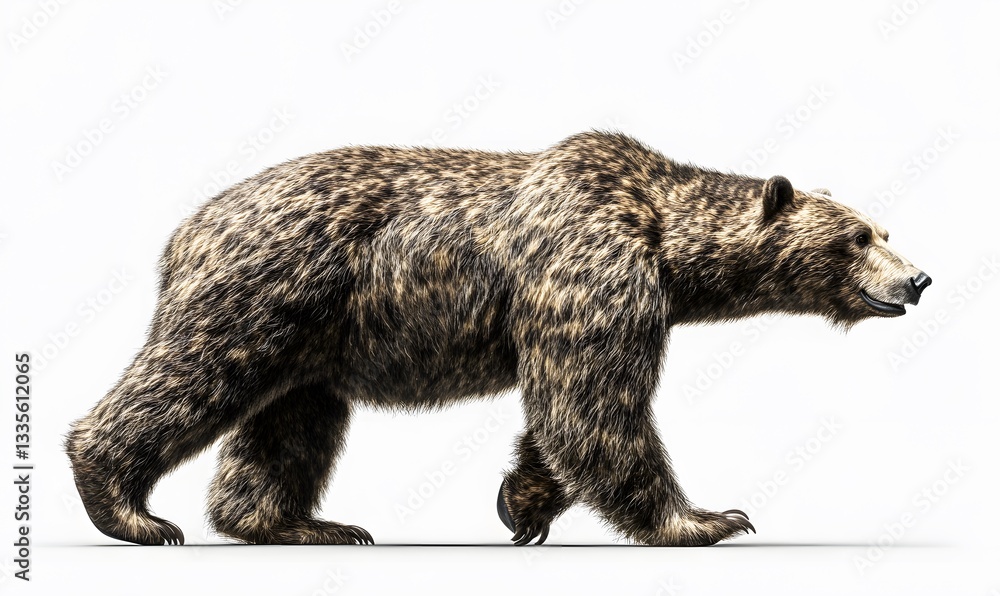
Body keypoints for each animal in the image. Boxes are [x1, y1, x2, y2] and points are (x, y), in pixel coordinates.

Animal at [65, 130, 931, 547]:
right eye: (857, 238)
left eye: (883, 229)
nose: (917, 279)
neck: (662, 236)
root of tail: (185, 230)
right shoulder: (593, 265)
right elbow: (594, 404)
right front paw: (709, 519)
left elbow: (561, 416)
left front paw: (525, 504)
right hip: (267, 289)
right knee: (193, 375)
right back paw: (130, 509)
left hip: (313, 336)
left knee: (292, 422)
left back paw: (305, 525)